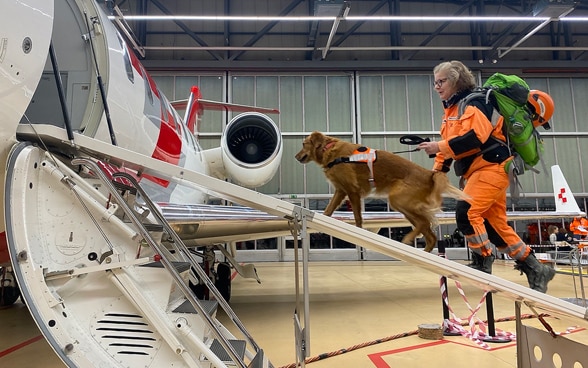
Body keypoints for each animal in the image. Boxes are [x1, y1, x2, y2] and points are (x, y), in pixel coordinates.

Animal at [294, 131, 468, 252]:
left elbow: (357, 217)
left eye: (303, 144)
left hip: (398, 200)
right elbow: (328, 210)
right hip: (406, 208)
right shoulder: (341, 191)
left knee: (424, 223)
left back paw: (408, 238)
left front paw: (358, 229)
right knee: (429, 234)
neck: (329, 150)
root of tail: (429, 174)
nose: (295, 156)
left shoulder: (352, 190)